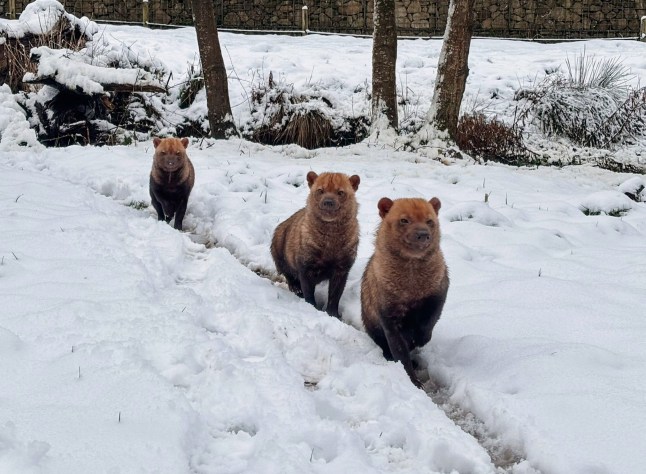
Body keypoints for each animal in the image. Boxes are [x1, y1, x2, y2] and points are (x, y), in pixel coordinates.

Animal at [270, 170, 362, 318]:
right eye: (320, 190)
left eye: (340, 192)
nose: (328, 202)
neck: (329, 245)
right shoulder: (306, 267)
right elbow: (308, 293)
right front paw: (312, 307)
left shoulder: (342, 269)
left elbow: (335, 296)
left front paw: (333, 314)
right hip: (278, 252)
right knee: (288, 275)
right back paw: (295, 289)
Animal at [360, 194, 450, 386]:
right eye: (404, 220)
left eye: (429, 220)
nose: (423, 235)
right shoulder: (388, 312)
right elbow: (399, 351)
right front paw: (414, 381)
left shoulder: (437, 292)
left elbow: (429, 322)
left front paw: (419, 339)